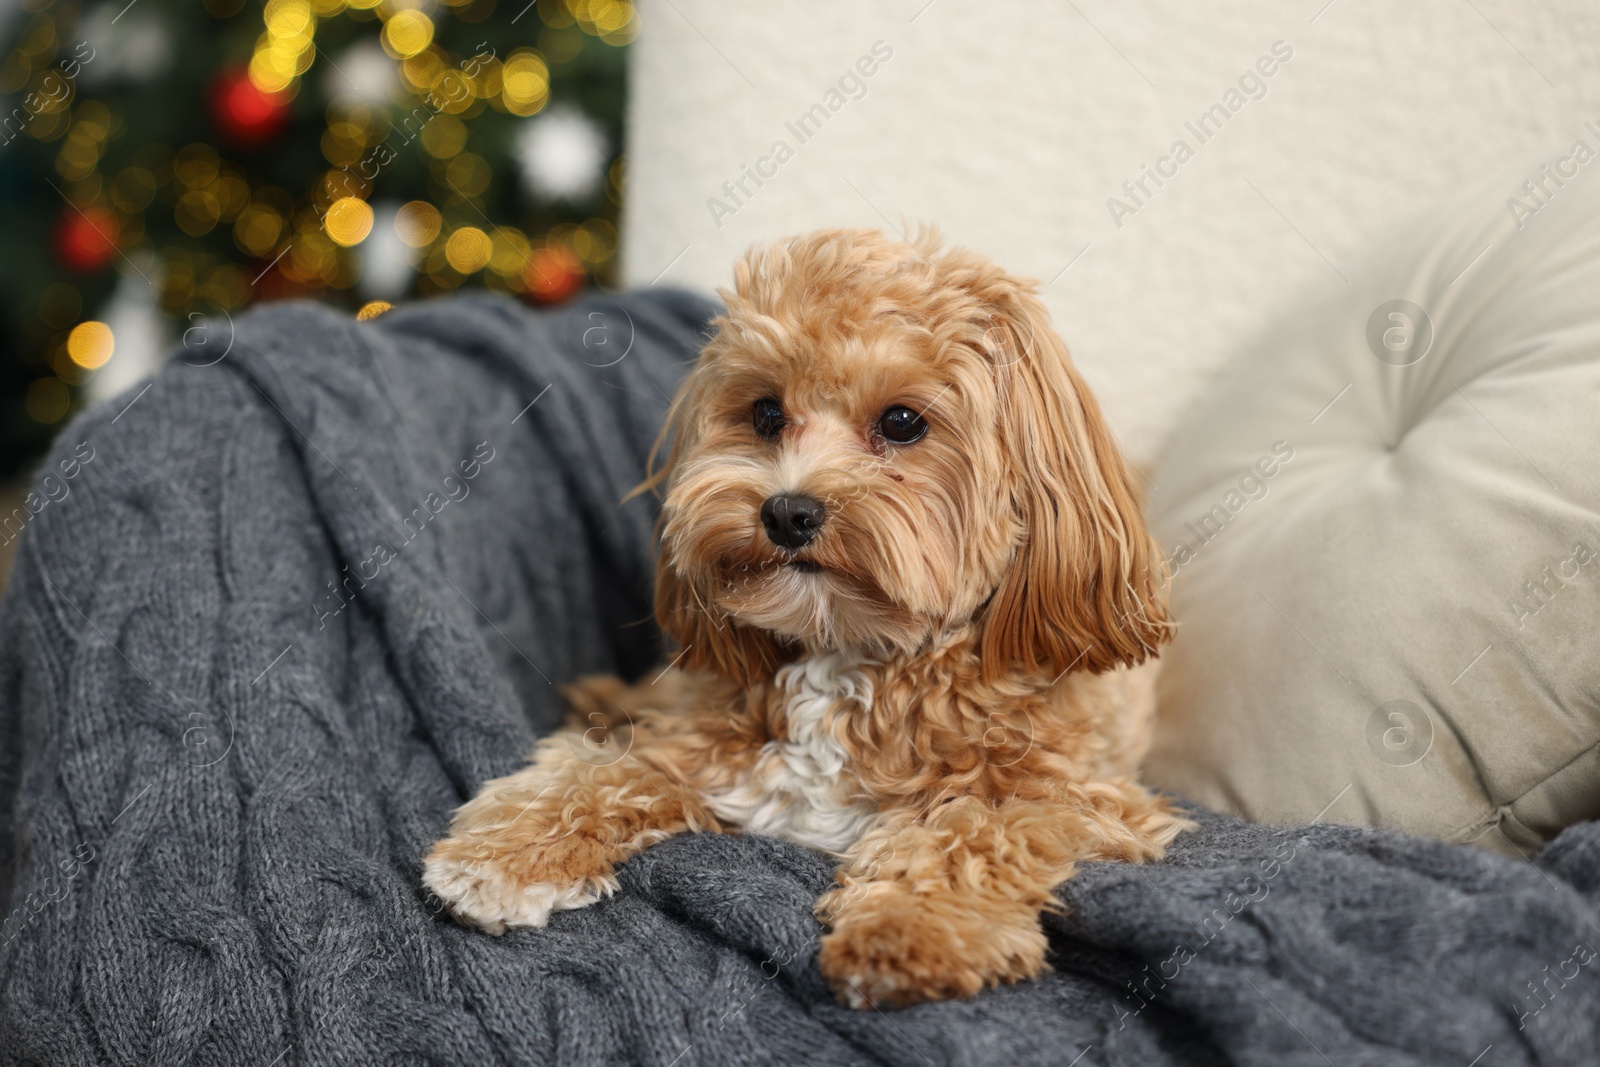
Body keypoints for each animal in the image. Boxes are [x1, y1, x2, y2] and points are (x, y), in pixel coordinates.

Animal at [425, 227, 1190, 1011]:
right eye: (765, 412)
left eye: (902, 422)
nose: (787, 512)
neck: (846, 652)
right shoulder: (696, 740)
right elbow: (596, 772)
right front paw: (505, 852)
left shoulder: (1069, 794)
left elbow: (970, 830)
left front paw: (908, 925)